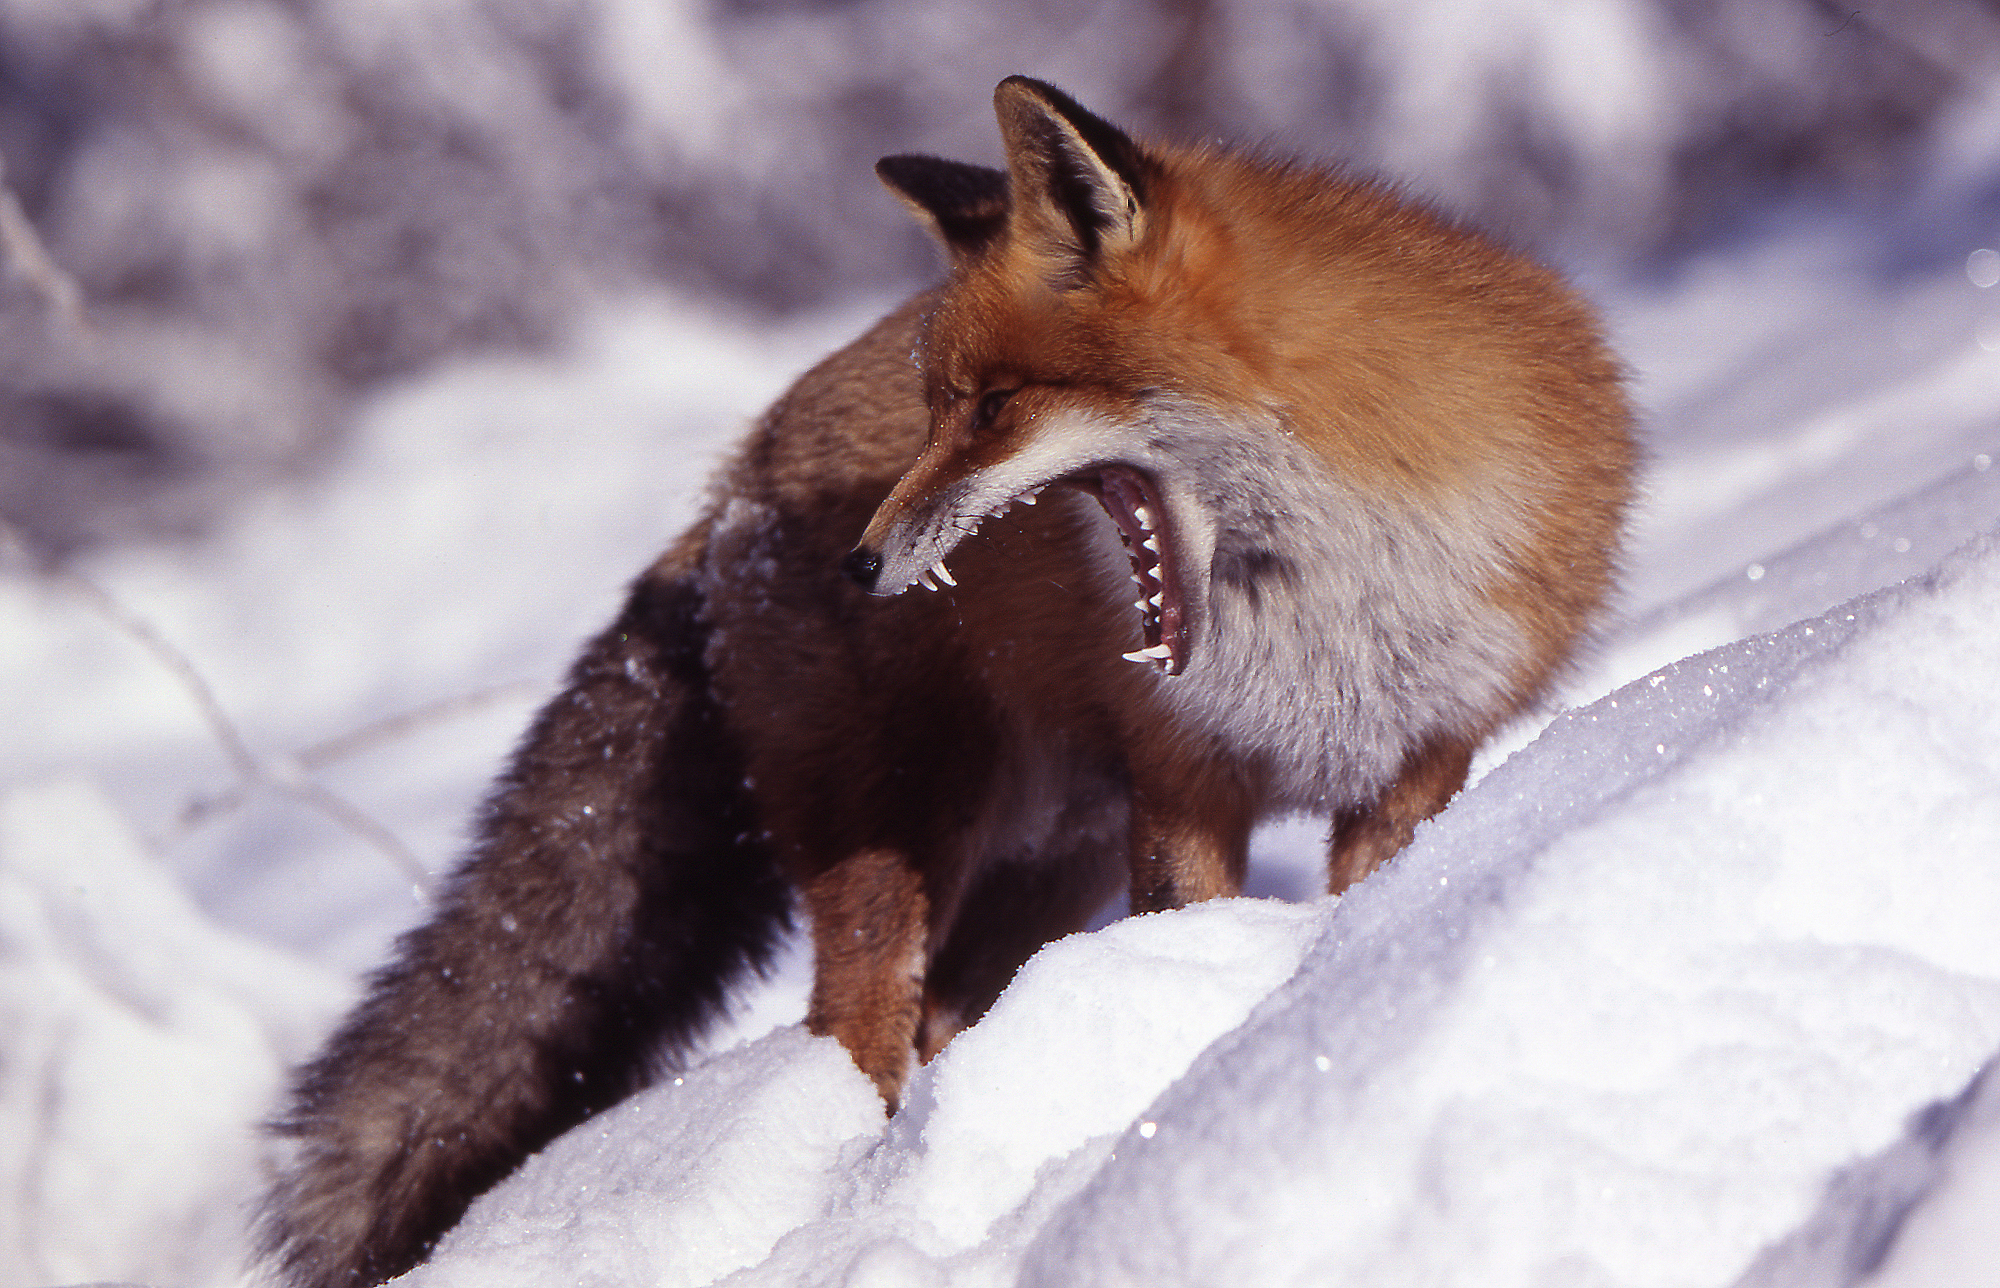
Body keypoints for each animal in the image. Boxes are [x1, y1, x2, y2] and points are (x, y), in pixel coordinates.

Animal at [259, 77, 1634, 1287]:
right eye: (937, 408)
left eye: (989, 408)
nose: (860, 562)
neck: (1330, 581)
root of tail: (731, 490)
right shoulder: (1184, 779)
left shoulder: (1414, 762)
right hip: (901, 841)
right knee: (851, 1042)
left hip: (1046, 864)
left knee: (935, 1031)